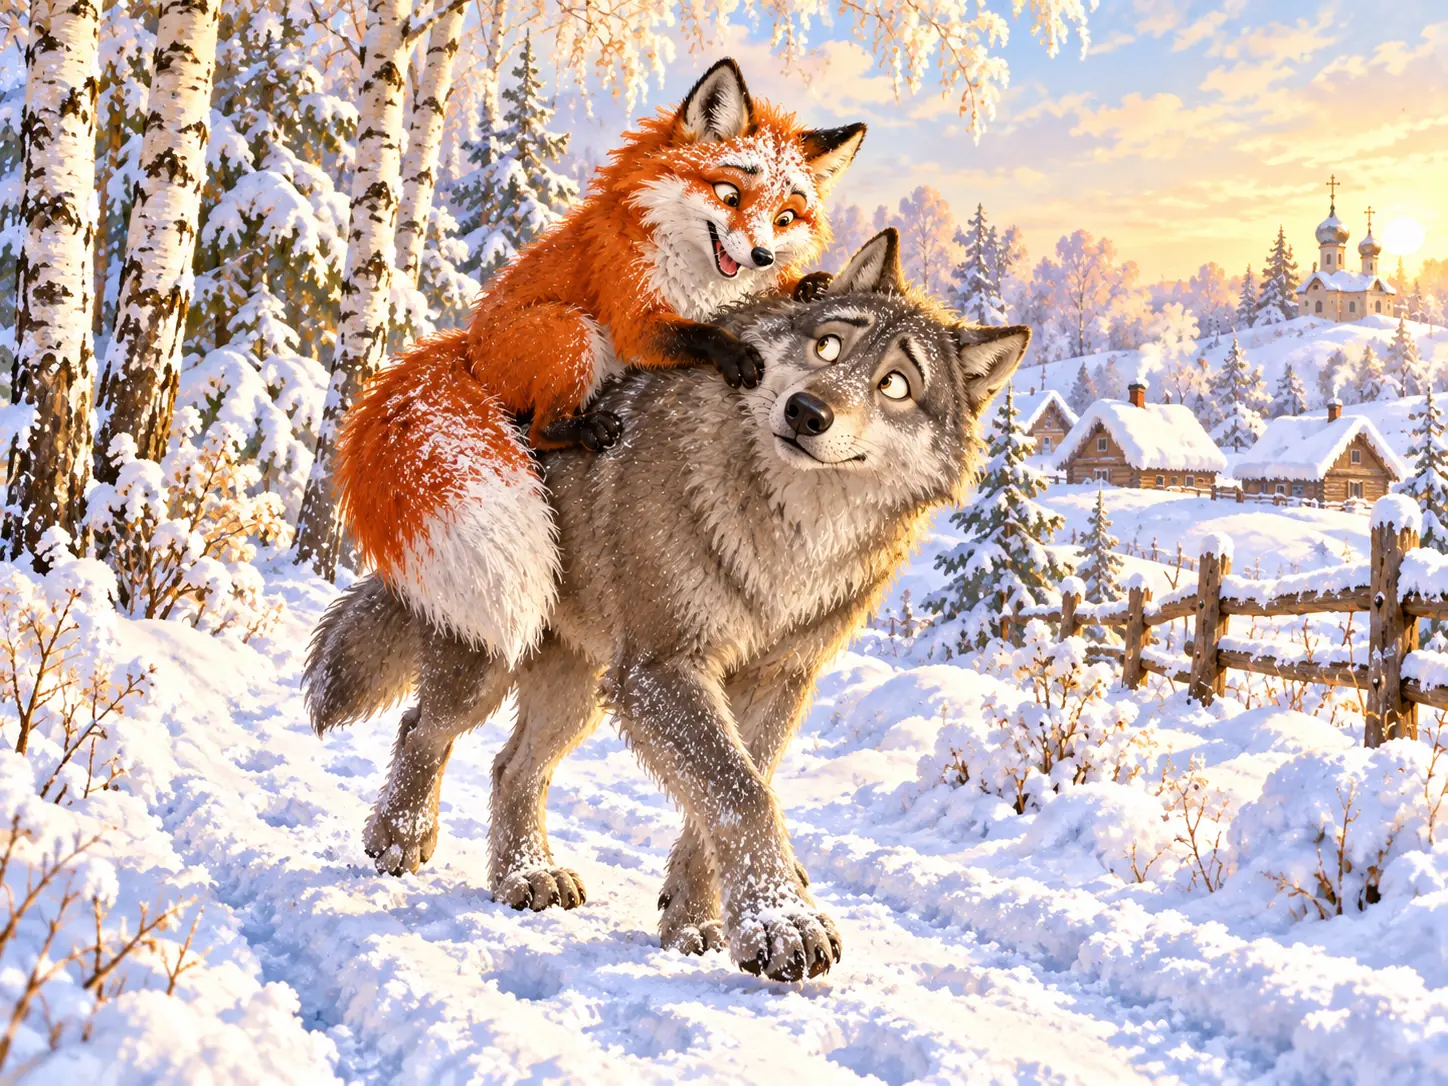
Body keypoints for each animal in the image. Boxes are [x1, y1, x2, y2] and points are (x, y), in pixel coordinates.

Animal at [305, 231, 1029, 982]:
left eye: (895, 385)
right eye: (828, 346)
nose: (808, 411)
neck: (788, 541)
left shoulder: (775, 682)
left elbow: (734, 791)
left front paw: (698, 923)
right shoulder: (662, 669)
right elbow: (741, 792)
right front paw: (784, 922)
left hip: (586, 692)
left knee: (513, 767)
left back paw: (526, 876)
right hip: (497, 661)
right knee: (422, 727)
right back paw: (400, 839)